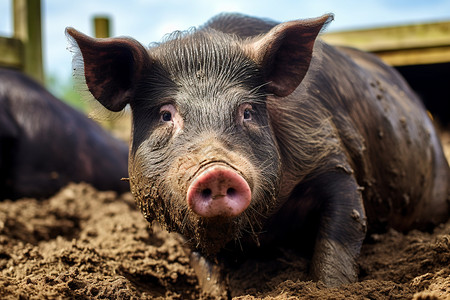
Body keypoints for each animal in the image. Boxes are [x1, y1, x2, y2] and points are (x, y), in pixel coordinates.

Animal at [65, 12, 448, 298]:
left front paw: (329, 289)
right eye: (165, 115)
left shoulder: (331, 158)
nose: (216, 169)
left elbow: (341, 232)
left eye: (247, 111)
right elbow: (203, 263)